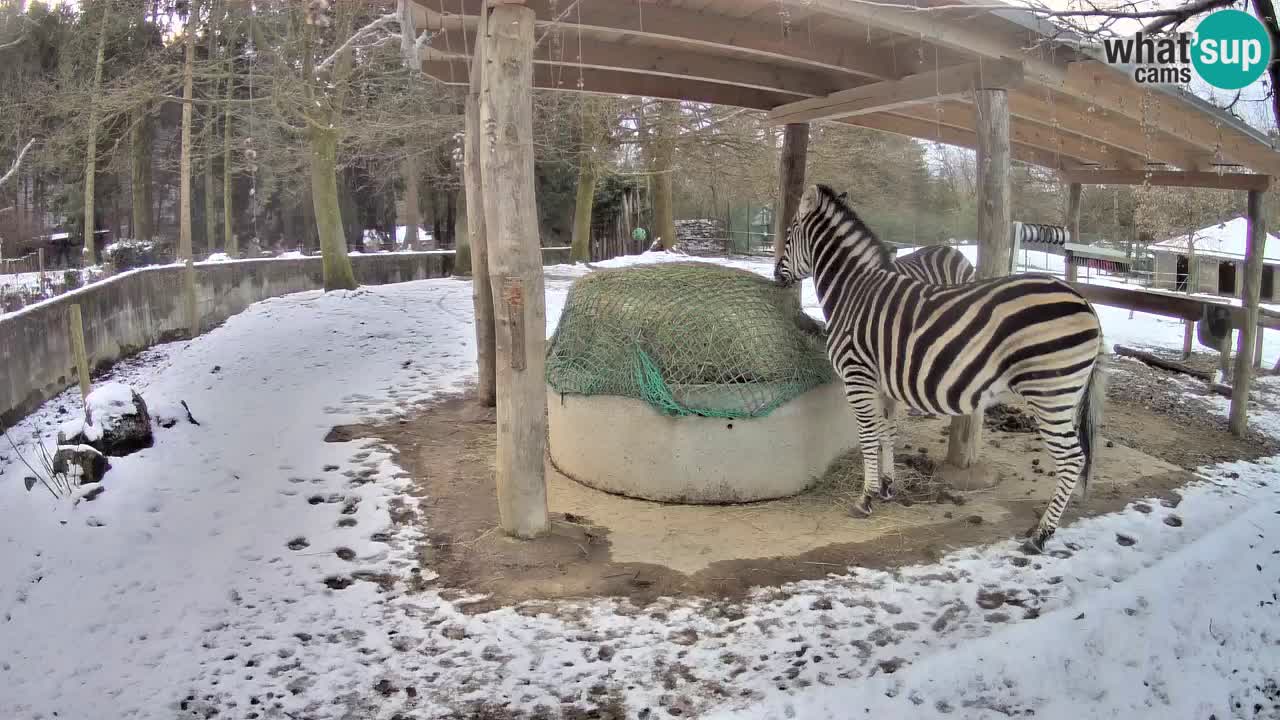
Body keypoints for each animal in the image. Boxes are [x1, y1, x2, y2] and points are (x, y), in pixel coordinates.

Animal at [773, 183, 1105, 548]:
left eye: (789, 232)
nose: (775, 276)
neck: (853, 292)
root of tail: (1085, 302)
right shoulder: (883, 382)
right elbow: (887, 431)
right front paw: (887, 486)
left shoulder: (857, 375)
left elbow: (868, 435)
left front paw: (866, 498)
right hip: (1065, 394)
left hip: (1050, 391)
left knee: (1072, 459)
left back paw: (1041, 535)